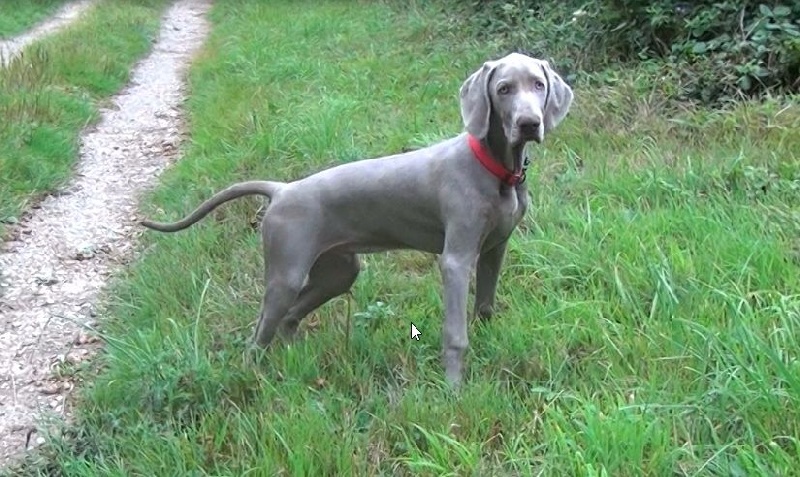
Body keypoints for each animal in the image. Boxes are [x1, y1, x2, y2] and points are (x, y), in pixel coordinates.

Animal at [141, 53, 572, 386]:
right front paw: (453, 390)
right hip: (286, 274)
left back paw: (299, 362)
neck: (497, 170)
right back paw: (252, 379)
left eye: (538, 85)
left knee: (290, 318)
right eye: (503, 90)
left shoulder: (495, 249)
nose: (530, 123)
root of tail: (282, 189)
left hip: (339, 270)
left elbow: (485, 306)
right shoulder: (456, 260)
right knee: (260, 333)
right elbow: (455, 333)